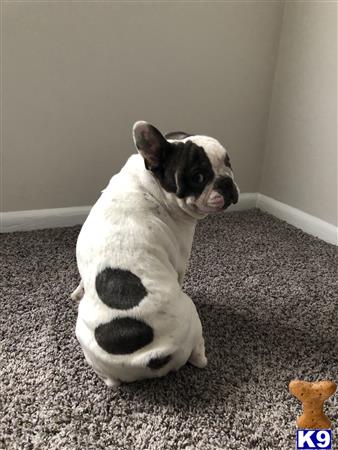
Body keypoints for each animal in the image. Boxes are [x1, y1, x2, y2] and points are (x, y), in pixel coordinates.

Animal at [73, 121, 238, 384]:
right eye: (198, 177)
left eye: (228, 162)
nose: (225, 181)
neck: (151, 184)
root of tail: (151, 356)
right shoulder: (180, 260)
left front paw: (78, 290)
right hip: (190, 311)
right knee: (197, 354)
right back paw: (202, 356)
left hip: (84, 337)